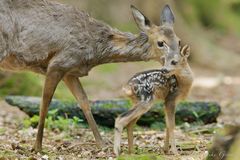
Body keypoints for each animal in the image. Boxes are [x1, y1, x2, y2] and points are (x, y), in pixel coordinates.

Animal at [0, 0, 180, 152]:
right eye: (160, 42)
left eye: (178, 41)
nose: (176, 61)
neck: (95, 50)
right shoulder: (57, 63)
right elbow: (45, 103)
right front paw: (37, 147)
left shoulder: (70, 72)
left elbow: (84, 101)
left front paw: (101, 143)